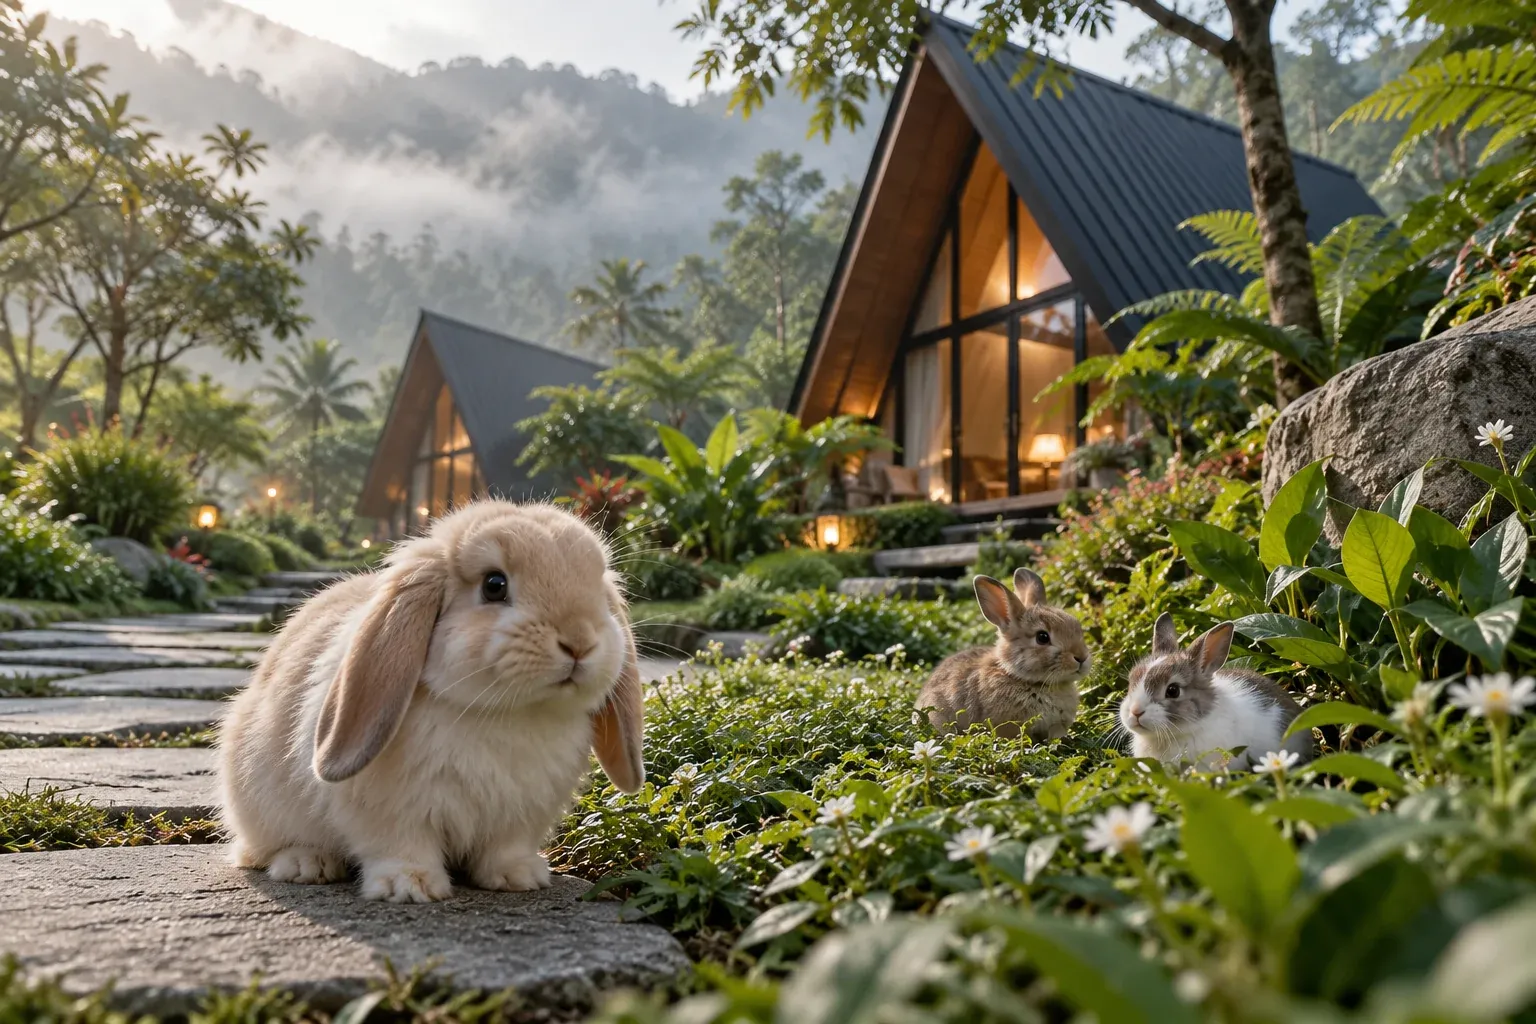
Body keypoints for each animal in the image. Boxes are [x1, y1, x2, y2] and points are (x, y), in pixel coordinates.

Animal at [217, 500, 645, 904]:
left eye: (597, 584)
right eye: (494, 584)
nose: (580, 641)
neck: (508, 711)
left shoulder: (520, 815)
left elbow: (506, 847)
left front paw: (519, 877)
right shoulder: (391, 809)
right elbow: (399, 844)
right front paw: (409, 885)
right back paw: (307, 864)